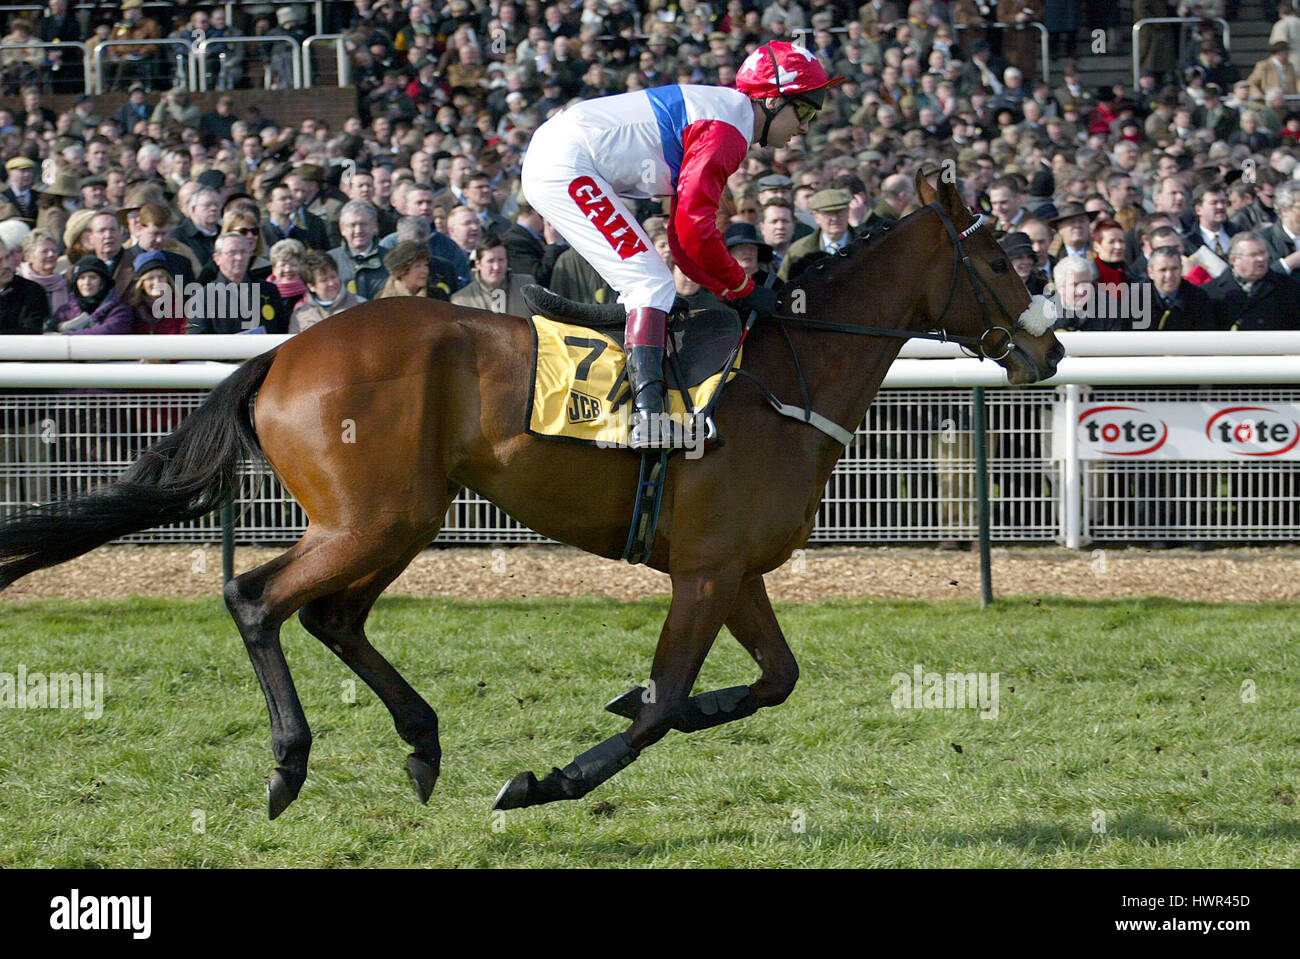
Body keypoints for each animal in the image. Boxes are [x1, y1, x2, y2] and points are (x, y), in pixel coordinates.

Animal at [0, 171, 1060, 816]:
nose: (1049, 349)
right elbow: (666, 704)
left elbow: (771, 679)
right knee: (255, 596)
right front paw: (546, 779)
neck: (786, 378)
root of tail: (282, 354)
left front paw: (633, 705)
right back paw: (290, 762)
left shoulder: (733, 569)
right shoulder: (704, 573)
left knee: (333, 617)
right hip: (372, 517)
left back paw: (422, 743)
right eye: (1000, 259)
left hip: (399, 517)